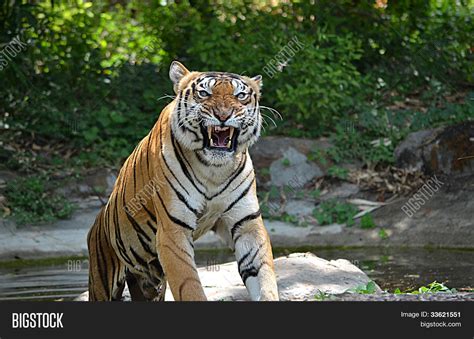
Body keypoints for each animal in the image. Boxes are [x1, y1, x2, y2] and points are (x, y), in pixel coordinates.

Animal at [86, 61, 278, 302]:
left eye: (240, 95)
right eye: (204, 93)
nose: (223, 115)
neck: (214, 170)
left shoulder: (247, 223)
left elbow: (263, 273)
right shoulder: (173, 230)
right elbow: (189, 285)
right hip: (103, 280)